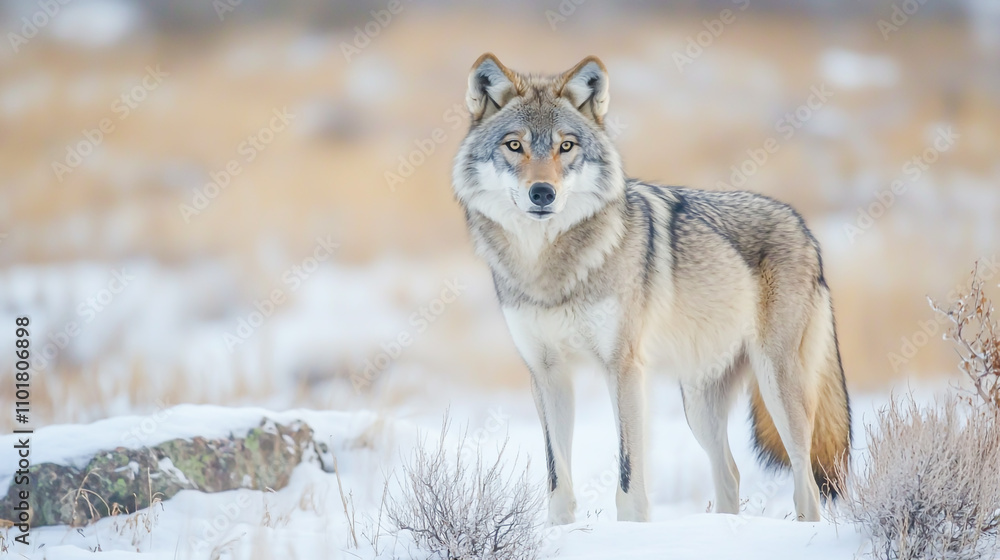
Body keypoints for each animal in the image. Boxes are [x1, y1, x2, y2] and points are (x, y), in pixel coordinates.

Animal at [452, 53, 851, 524]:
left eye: (567, 147)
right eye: (515, 146)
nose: (543, 193)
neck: (546, 267)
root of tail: (804, 227)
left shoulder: (624, 369)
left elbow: (628, 478)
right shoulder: (547, 374)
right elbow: (557, 478)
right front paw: (559, 530)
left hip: (779, 390)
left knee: (805, 483)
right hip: (698, 406)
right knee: (731, 474)